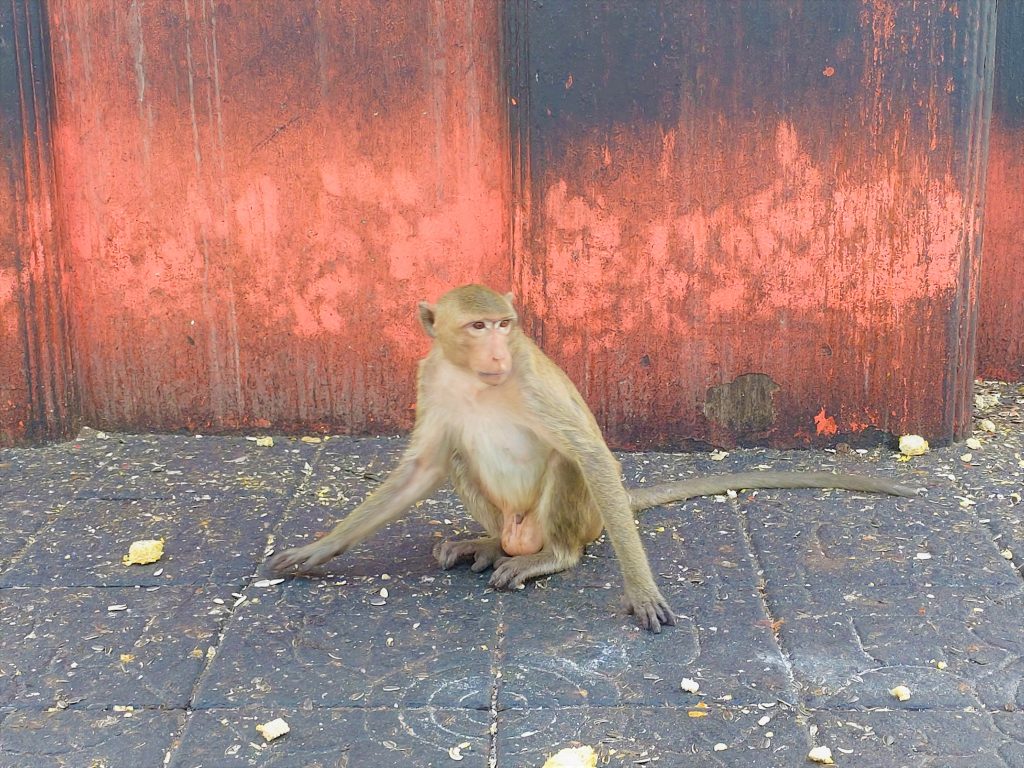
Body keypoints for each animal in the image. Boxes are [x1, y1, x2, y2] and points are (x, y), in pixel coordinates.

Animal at [268, 286, 925, 634]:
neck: (478, 380)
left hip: (580, 521)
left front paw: (642, 592)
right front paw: (316, 549)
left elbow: (591, 454)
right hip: (510, 518)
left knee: (569, 469)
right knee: (458, 458)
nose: (498, 349)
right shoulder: (429, 378)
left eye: (504, 324)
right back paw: (489, 545)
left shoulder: (531, 381)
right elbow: (420, 468)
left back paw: (550, 557)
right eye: (477, 325)